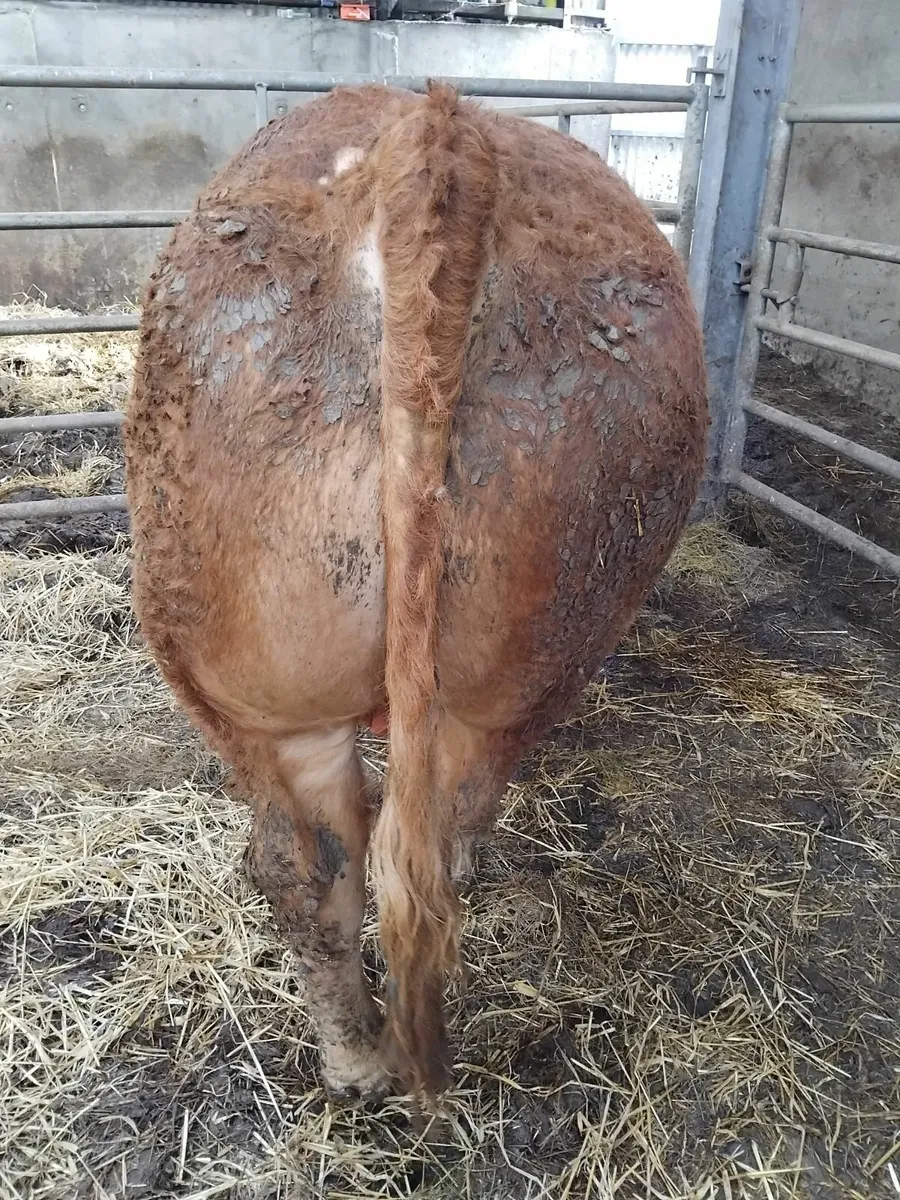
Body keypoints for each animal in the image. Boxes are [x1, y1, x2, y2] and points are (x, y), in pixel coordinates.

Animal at [124, 83, 707, 1102]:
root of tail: (435, 138)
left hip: (250, 689)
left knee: (322, 863)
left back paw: (358, 1062)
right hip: (501, 668)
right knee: (406, 849)